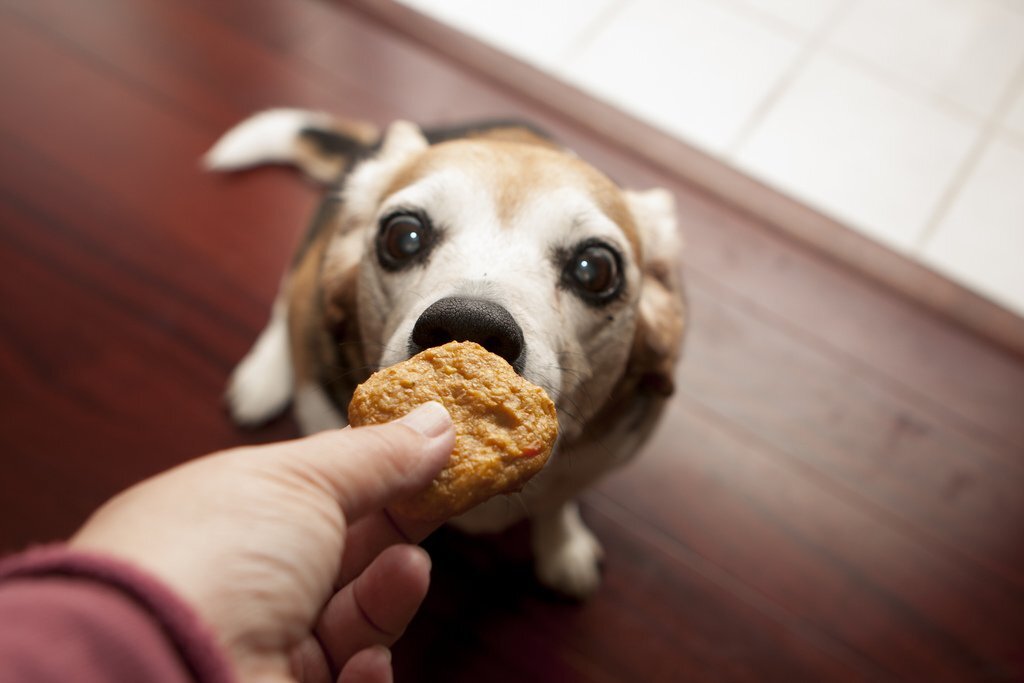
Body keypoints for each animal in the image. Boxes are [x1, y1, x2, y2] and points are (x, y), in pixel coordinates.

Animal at [203, 108, 684, 598]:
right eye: (403, 236)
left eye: (595, 269)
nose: (468, 324)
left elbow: (558, 501)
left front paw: (564, 548)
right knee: (288, 298)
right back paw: (264, 377)